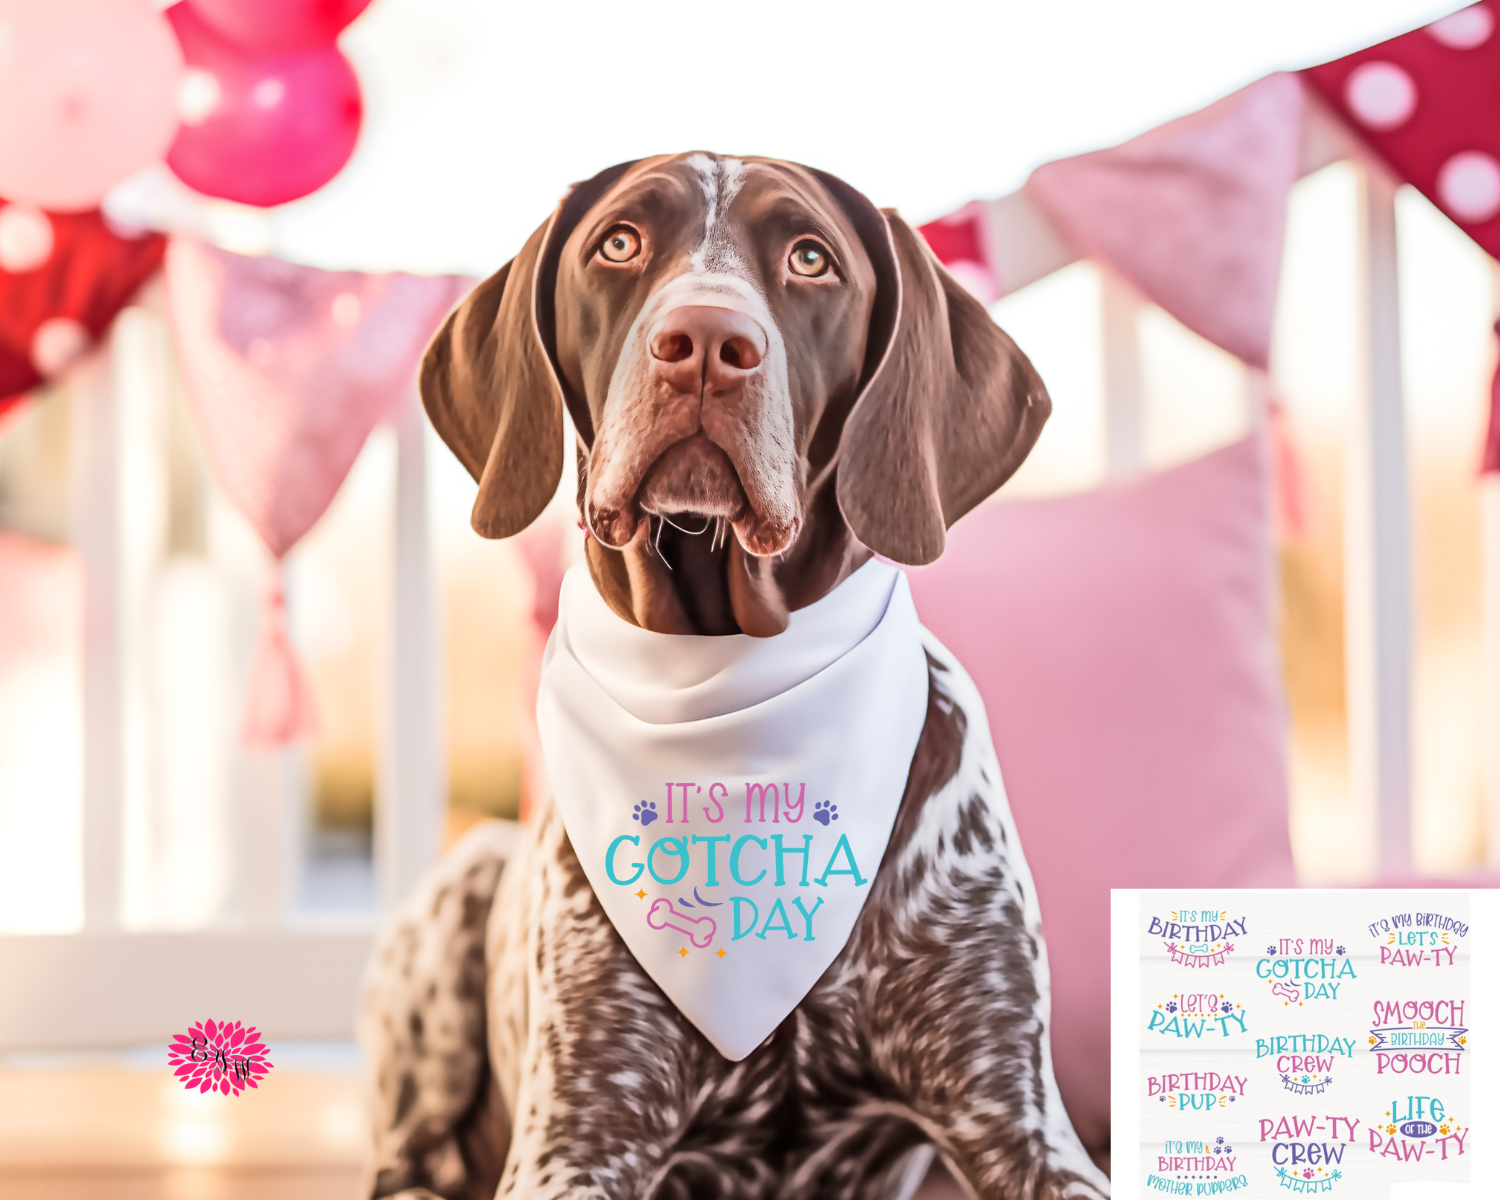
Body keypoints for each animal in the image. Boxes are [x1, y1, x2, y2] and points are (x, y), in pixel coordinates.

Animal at [360, 152, 1116, 1200]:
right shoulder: (580, 1140)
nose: (707, 344)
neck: (731, 679)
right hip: (456, 902)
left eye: (811, 258)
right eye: (620, 242)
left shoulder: (1018, 1123)